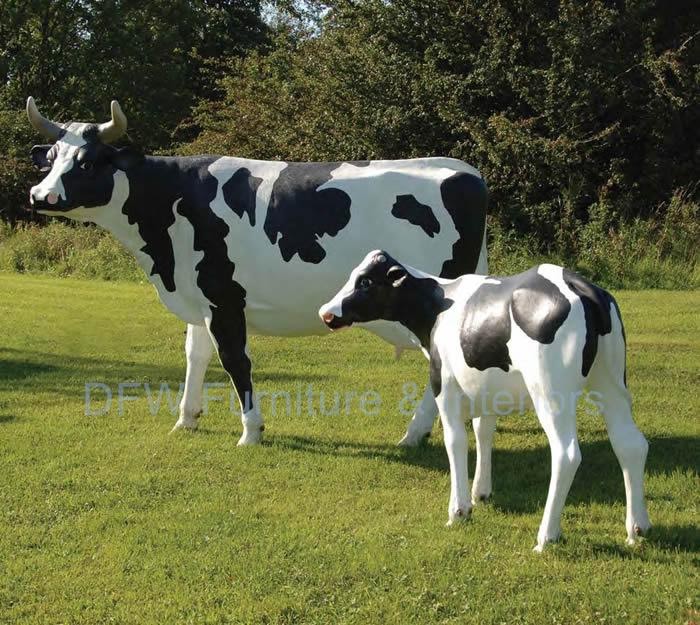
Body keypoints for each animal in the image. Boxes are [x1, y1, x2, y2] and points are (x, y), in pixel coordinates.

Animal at [26, 97, 495, 451]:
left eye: (87, 162)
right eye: (49, 158)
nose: (40, 195)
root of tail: (465, 172)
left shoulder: (223, 295)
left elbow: (235, 359)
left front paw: (251, 431)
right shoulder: (199, 295)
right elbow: (196, 355)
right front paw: (186, 419)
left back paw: (414, 433)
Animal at [319, 251, 651, 550]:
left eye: (365, 281)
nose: (326, 311)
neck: (438, 306)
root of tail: (582, 286)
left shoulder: (444, 384)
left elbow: (455, 440)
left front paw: (459, 510)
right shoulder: (486, 387)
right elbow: (483, 431)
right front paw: (481, 492)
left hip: (550, 392)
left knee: (566, 453)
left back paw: (547, 536)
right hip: (611, 383)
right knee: (631, 444)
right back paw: (637, 528)